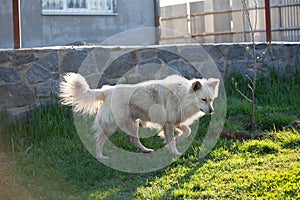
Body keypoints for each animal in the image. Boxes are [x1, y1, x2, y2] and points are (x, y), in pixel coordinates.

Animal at [59, 72, 219, 159]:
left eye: (211, 100)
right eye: (203, 99)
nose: (211, 111)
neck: (182, 95)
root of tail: (107, 91)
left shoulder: (175, 121)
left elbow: (187, 131)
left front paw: (175, 141)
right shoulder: (168, 123)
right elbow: (172, 139)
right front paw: (174, 152)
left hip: (133, 123)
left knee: (134, 140)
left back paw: (145, 150)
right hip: (112, 125)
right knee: (99, 140)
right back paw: (100, 156)